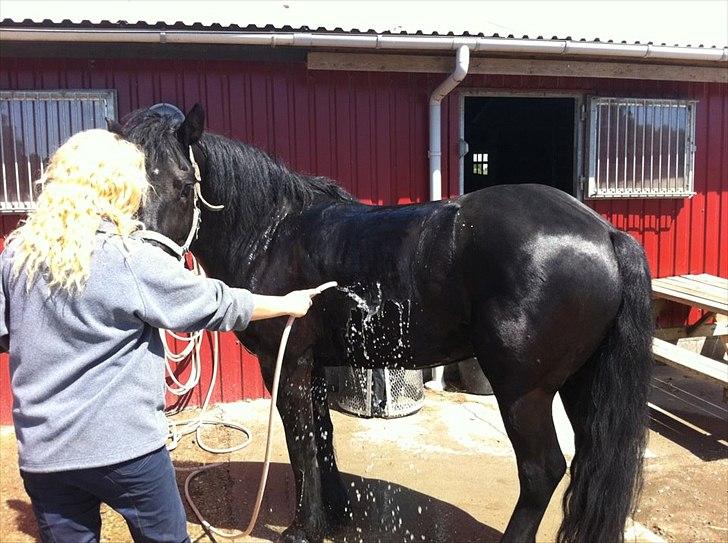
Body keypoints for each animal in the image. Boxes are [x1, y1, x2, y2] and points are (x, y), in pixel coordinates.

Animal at [113, 104, 653, 543]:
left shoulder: (285, 362)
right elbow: (322, 435)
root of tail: (605, 233)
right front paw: (335, 512)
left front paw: (304, 527)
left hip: (524, 391)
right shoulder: (315, 365)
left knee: (542, 471)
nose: (142, 266)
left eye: (185, 184)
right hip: (581, 384)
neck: (271, 232)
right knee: (589, 463)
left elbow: (300, 441)